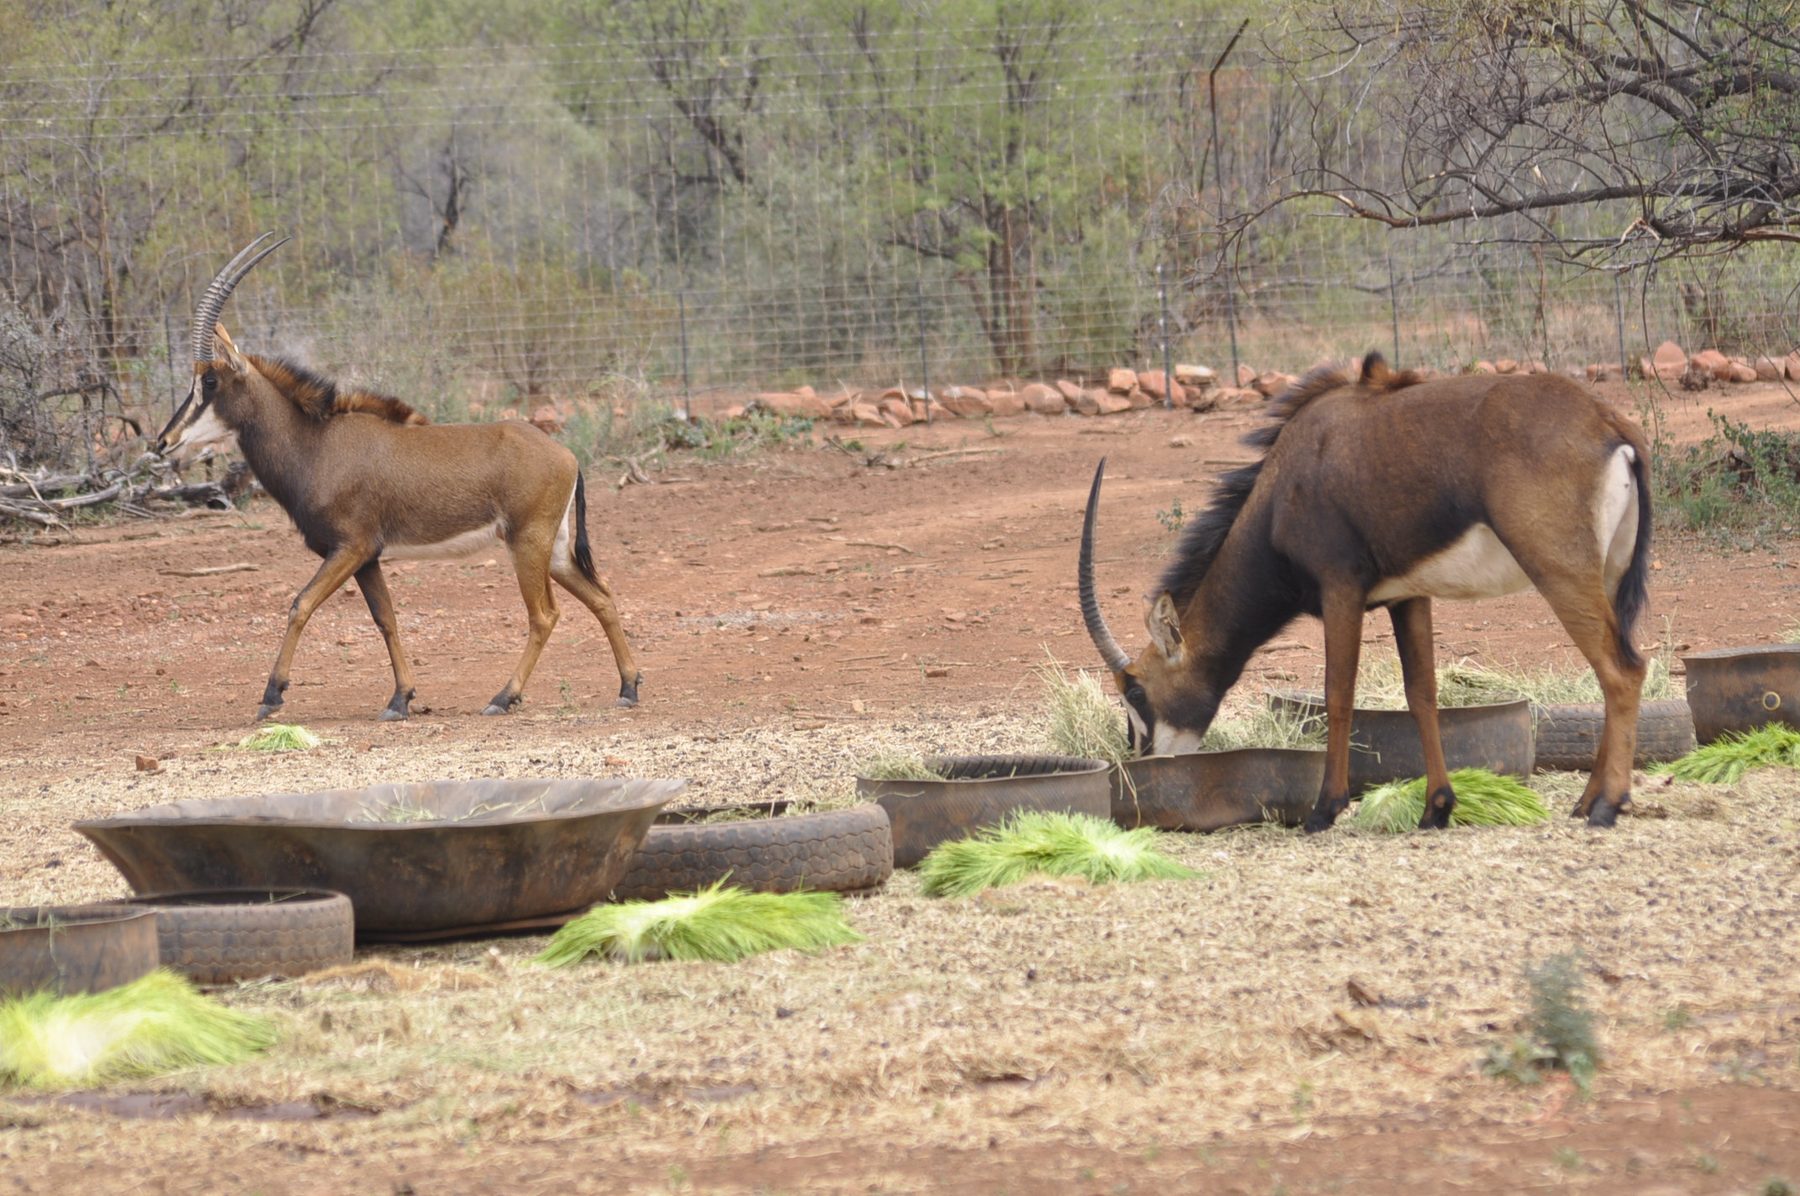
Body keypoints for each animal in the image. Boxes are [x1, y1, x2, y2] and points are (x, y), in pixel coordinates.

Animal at [155, 234, 642, 722]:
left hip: (527, 544)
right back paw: (628, 687)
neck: (316, 442)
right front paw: (400, 698)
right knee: (602, 597)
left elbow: (300, 604)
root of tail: (568, 455)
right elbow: (385, 618)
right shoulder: (368, 557)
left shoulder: (350, 547)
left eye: (210, 382)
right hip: (554, 550)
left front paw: (272, 696)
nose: (164, 441)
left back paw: (504, 697)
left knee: (544, 615)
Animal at [1079, 354, 1652, 829]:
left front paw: (1325, 809)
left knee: (1621, 670)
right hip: (1606, 576)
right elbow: (1422, 694)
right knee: (1615, 667)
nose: (1143, 760)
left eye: (1135, 690)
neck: (1284, 484)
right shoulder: (1408, 596)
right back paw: (1587, 799)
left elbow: (1338, 693)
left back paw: (1606, 806)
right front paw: (1437, 807)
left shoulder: (1341, 588)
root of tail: (1608, 424)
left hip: (1559, 572)